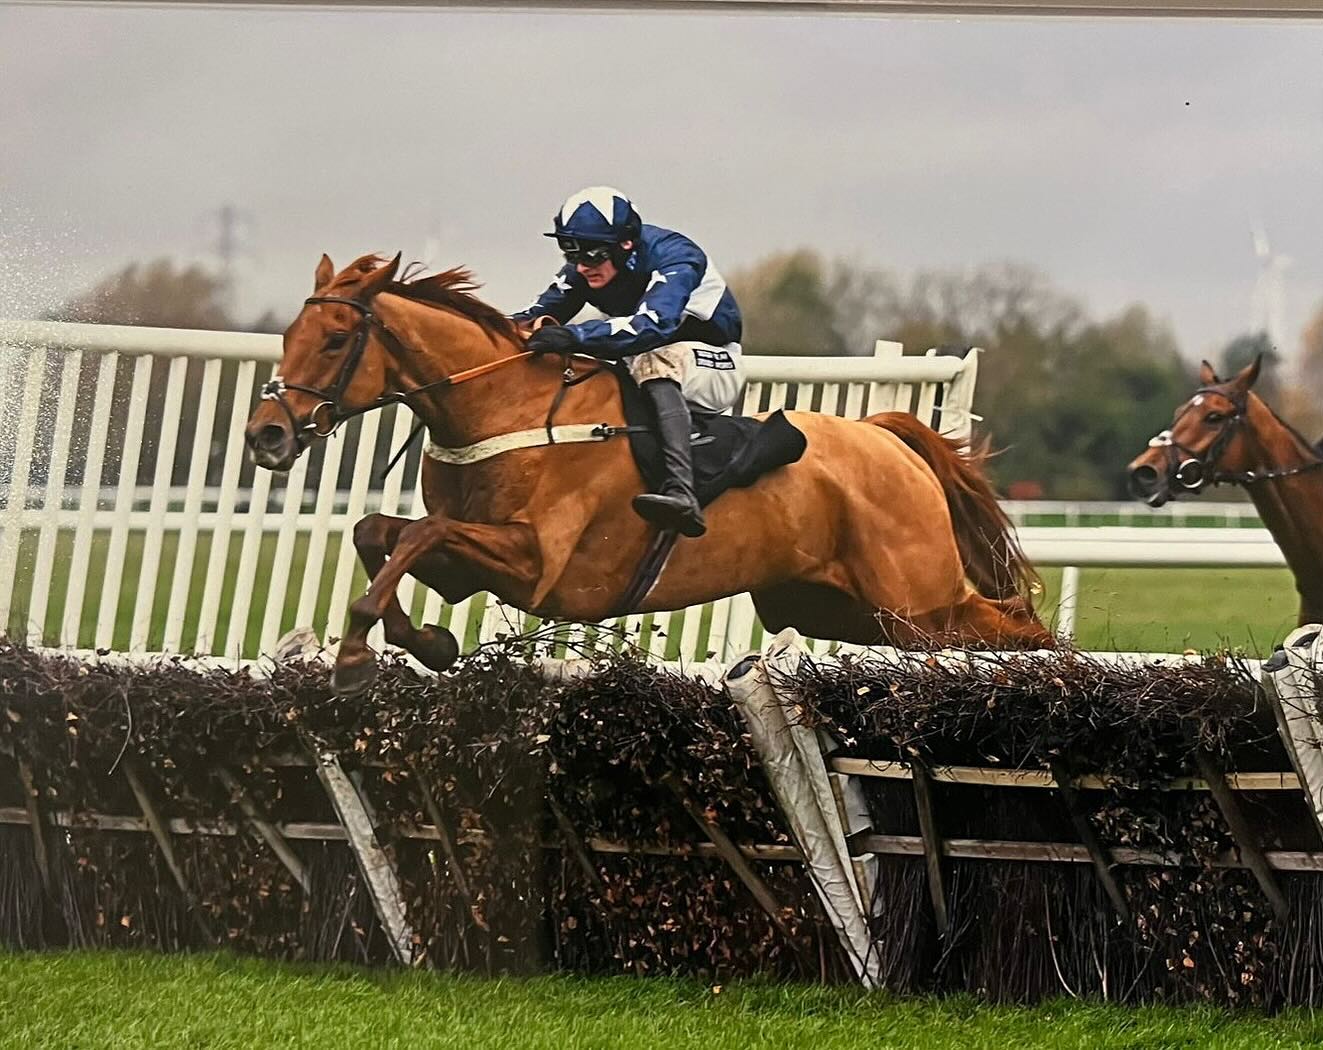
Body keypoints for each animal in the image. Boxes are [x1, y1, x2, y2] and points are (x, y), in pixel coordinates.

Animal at [244, 253, 1052, 695]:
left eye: (336, 339)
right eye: (289, 334)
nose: (266, 434)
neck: (505, 405)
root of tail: (886, 437)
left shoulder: (537, 565)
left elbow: (416, 536)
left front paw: (355, 655)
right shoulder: (471, 558)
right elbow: (378, 532)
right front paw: (426, 643)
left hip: (917, 604)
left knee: (1019, 625)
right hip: (841, 608)